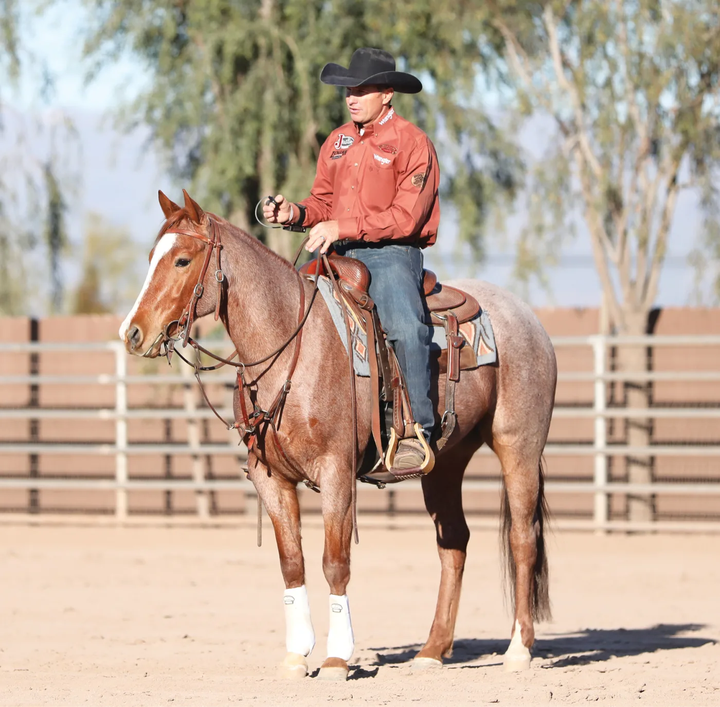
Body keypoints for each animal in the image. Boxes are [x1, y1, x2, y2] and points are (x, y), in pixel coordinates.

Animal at [119, 191, 556, 684]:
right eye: (151, 256)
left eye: (182, 259)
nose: (132, 333)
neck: (292, 345)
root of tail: (528, 318)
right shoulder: (270, 479)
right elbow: (292, 563)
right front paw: (296, 654)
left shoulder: (336, 473)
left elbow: (335, 562)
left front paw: (336, 658)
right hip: (445, 464)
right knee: (454, 543)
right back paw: (432, 650)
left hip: (519, 446)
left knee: (522, 539)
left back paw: (518, 649)